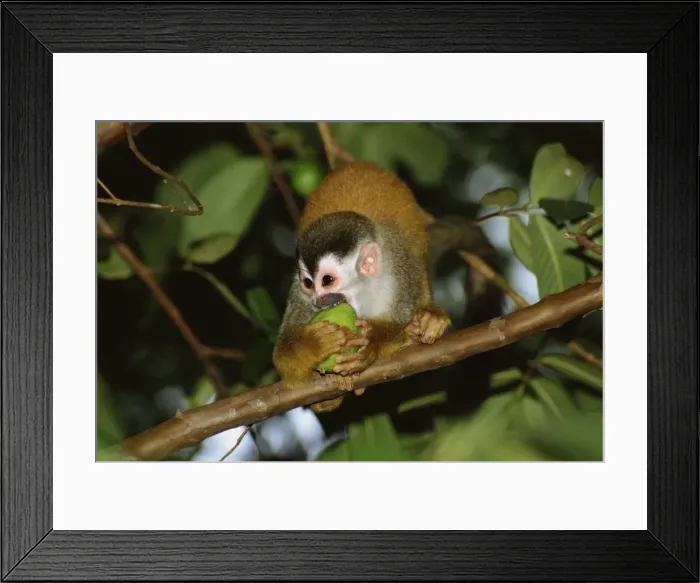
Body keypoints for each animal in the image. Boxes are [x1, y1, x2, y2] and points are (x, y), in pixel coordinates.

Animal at [272, 161, 499, 414]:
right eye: (308, 284)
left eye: (327, 281)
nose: (318, 301)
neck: (362, 290)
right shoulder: (298, 295)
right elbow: (284, 358)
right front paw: (314, 345)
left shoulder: (400, 269)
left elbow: (398, 321)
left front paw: (373, 343)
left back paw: (425, 322)